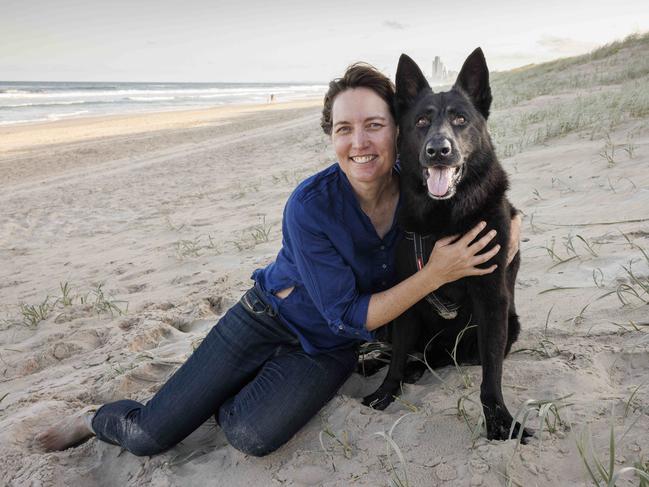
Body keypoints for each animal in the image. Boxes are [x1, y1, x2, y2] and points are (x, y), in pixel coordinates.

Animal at [362, 48, 528, 442]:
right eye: (421, 121)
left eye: (460, 119)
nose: (439, 150)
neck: (444, 218)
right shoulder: (405, 299)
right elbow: (395, 358)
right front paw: (385, 392)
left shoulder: (491, 299)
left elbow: (491, 374)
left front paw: (499, 421)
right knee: (405, 353)